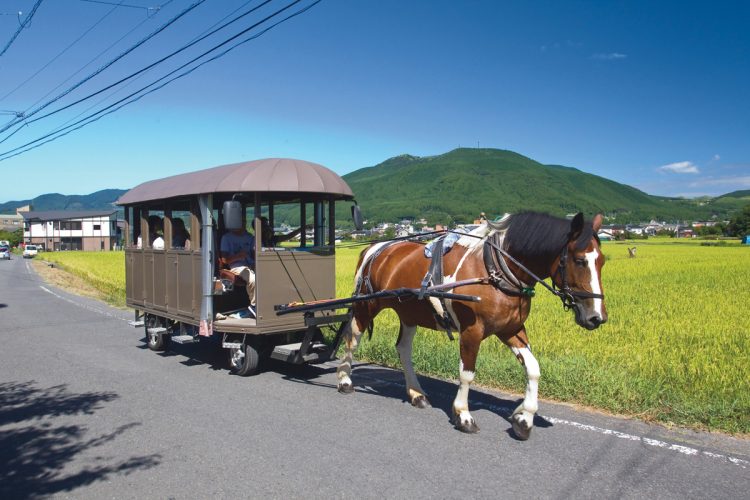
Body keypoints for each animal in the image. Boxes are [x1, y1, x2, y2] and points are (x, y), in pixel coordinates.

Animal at [336, 212, 607, 440]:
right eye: (580, 261)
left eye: (602, 261)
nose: (597, 317)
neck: (496, 270)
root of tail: (374, 247)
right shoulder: (471, 330)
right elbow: (467, 373)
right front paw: (463, 414)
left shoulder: (511, 330)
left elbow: (533, 369)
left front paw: (524, 416)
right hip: (366, 305)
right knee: (352, 339)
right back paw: (345, 380)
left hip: (409, 312)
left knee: (403, 349)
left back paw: (416, 393)